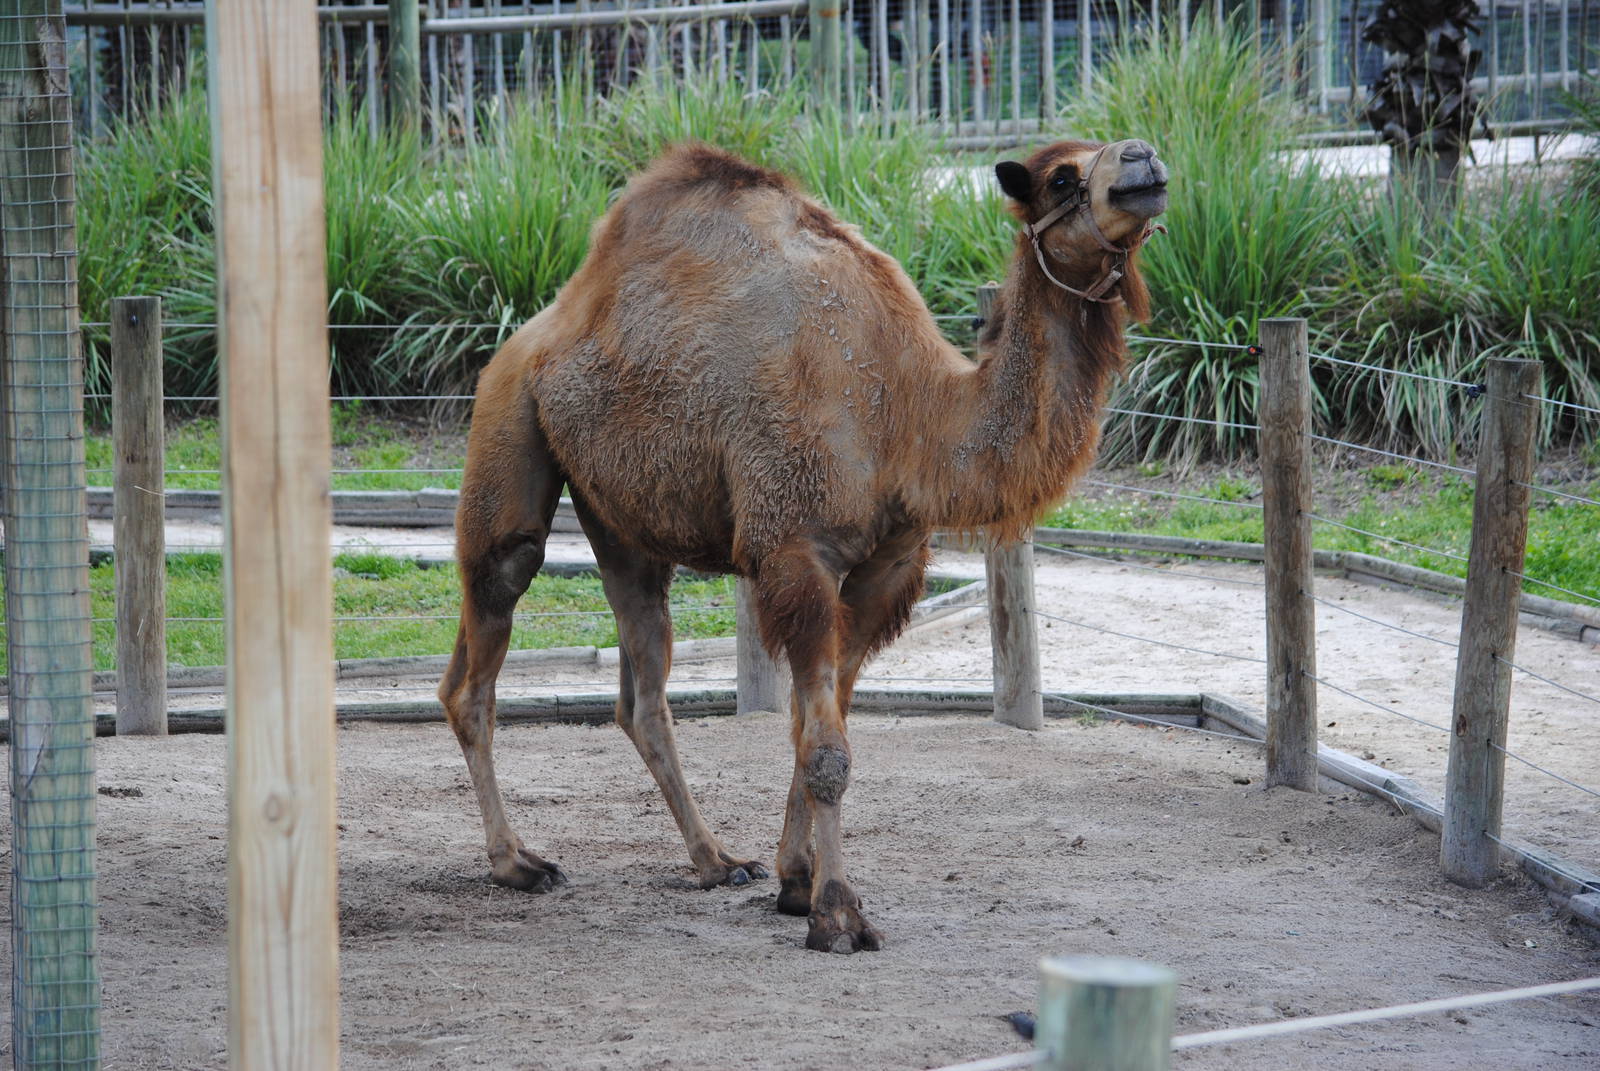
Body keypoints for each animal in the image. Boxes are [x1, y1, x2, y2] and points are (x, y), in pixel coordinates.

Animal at [439, 136, 1169, 953]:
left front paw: (794, 883)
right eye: (1063, 178)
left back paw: (717, 861)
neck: (907, 412)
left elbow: (818, 725)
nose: (1142, 161)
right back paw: (519, 863)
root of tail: (532, 332)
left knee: (640, 693)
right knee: (487, 629)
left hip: (620, 519)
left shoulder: (886, 569)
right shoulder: (797, 549)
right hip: (507, 426)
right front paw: (838, 914)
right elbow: (824, 748)